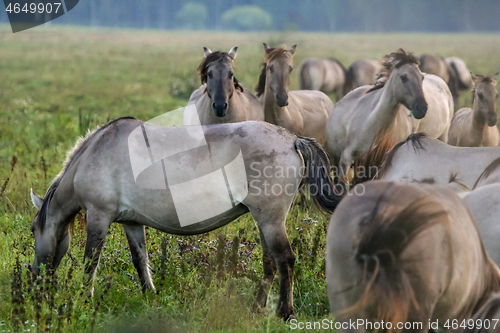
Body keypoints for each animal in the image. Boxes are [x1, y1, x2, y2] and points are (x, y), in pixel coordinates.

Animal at [28, 115, 340, 318]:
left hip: (270, 220)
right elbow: (140, 260)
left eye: (32, 230)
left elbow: (90, 262)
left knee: (285, 260)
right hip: (265, 221)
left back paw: (284, 312)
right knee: (270, 263)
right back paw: (256, 309)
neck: (95, 154)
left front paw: (85, 298)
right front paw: (150, 295)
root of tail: (292, 139)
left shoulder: (98, 217)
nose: (35, 280)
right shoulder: (132, 223)